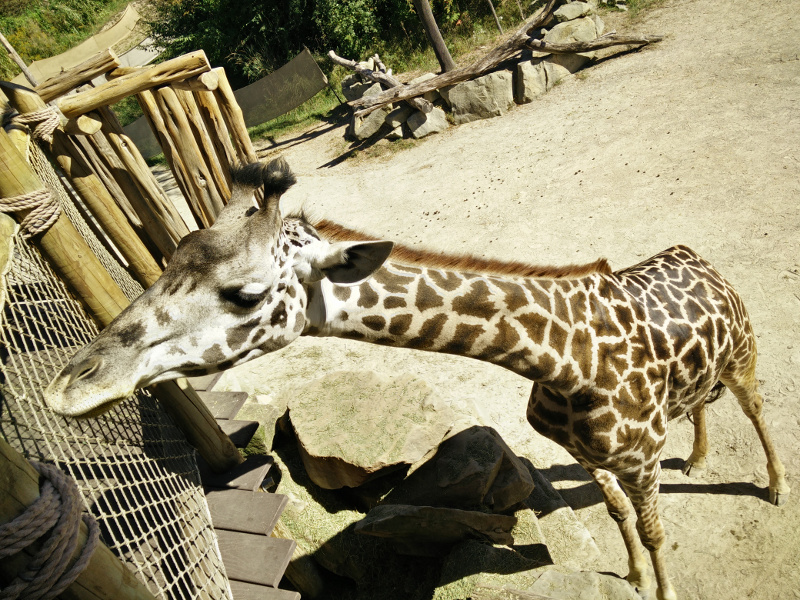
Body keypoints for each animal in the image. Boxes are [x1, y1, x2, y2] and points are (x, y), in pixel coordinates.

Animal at [45, 158, 790, 600]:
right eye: (172, 255)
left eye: (246, 294)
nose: (70, 384)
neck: (562, 358)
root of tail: (696, 255)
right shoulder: (586, 452)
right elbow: (616, 516)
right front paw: (631, 574)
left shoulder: (637, 456)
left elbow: (658, 531)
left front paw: (659, 587)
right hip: (702, 377)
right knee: (700, 405)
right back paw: (699, 457)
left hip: (744, 357)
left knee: (755, 408)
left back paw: (777, 487)